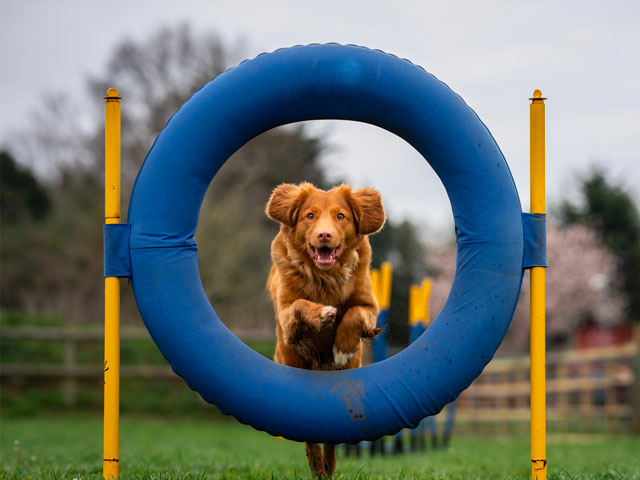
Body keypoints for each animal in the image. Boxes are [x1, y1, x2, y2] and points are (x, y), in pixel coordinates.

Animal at [264, 183, 384, 476]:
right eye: (310, 215)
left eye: (340, 216)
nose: (324, 234)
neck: (325, 276)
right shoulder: (286, 311)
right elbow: (299, 304)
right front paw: (322, 313)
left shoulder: (368, 304)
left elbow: (353, 314)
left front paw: (341, 348)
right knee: (310, 432)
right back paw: (318, 466)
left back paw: (328, 466)